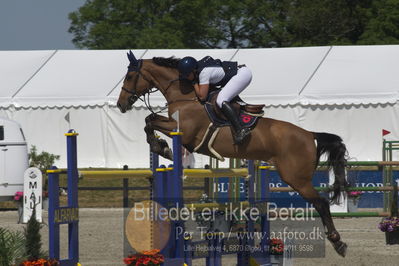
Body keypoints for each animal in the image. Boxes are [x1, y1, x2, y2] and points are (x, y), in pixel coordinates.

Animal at [117, 51, 348, 256]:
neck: (186, 96)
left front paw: (160, 146)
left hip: (296, 178)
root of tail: (310, 135)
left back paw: (338, 242)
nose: (121, 104)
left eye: (129, 76)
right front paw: (160, 146)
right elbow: (149, 119)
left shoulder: (183, 131)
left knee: (321, 203)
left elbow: (151, 121)